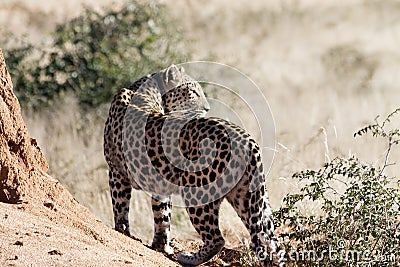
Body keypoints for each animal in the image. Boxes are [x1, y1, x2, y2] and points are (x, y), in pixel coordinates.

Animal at [104, 64, 282, 266]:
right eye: (193, 92)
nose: (207, 108)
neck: (143, 89)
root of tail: (247, 140)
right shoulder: (159, 185)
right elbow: (162, 216)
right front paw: (160, 246)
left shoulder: (116, 172)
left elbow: (120, 205)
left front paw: (122, 231)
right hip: (248, 197)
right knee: (269, 240)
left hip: (197, 191)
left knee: (217, 238)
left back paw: (188, 258)